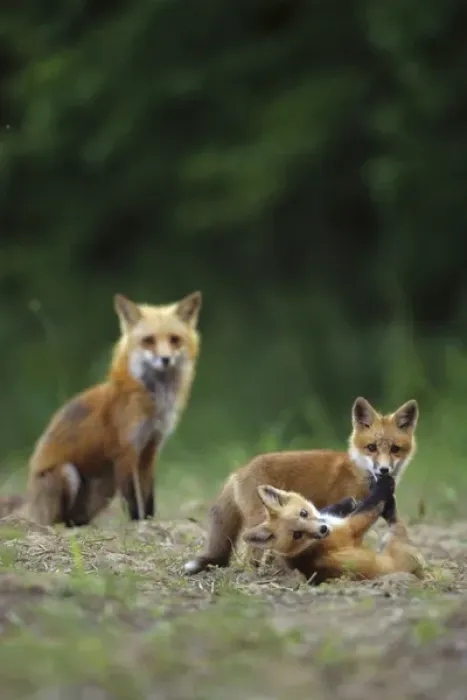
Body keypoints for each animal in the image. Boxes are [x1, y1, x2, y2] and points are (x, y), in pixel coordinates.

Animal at [26, 290, 202, 527]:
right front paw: (139, 525)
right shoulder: (125, 451)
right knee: (59, 520)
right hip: (68, 474)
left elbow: (148, 497)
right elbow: (133, 500)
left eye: (174, 339)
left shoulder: (150, 449)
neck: (154, 402)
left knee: (77, 519)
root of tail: (31, 510)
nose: (165, 359)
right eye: (148, 341)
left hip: (106, 487)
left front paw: (149, 522)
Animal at [183, 397, 418, 575]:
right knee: (251, 555)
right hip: (260, 520)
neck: (360, 473)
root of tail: (238, 471)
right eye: (372, 448)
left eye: (395, 449)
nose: (384, 470)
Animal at [242, 475, 425, 584]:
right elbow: (373, 503)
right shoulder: (352, 528)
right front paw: (384, 483)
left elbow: (334, 508)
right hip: (395, 542)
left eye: (304, 513)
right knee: (396, 521)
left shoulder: (334, 519)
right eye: (297, 535)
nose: (323, 530)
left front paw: (348, 502)